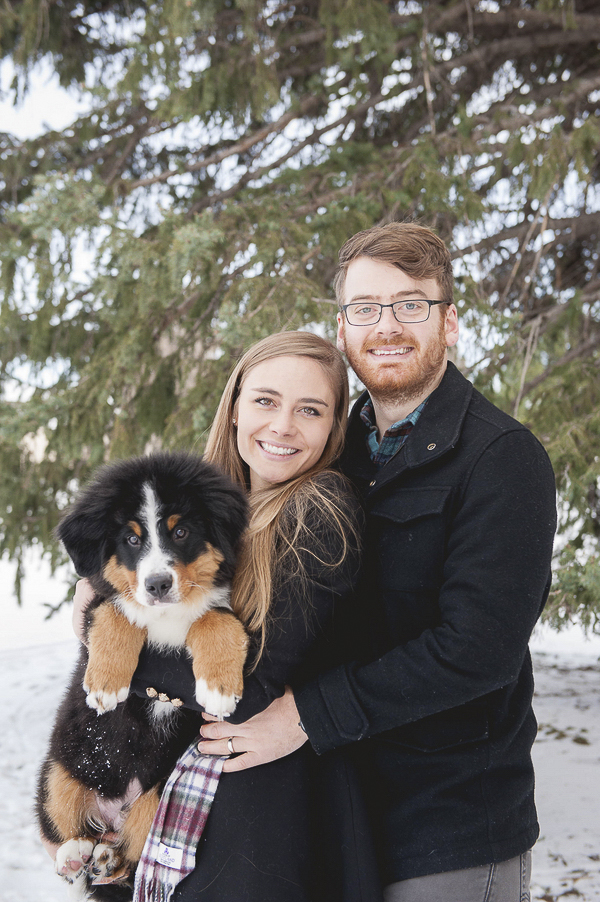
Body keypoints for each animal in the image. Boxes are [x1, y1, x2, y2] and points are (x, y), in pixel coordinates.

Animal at [37, 456, 248, 900]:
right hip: (60, 766)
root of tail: (112, 812)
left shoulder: (225, 608)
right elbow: (116, 611)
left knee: (133, 853)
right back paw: (75, 854)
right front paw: (105, 685)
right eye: (132, 540)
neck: (167, 616)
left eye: (180, 532)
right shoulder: (97, 601)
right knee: (65, 822)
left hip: (158, 791)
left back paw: (107, 859)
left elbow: (214, 619)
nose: (157, 584)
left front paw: (219, 689)